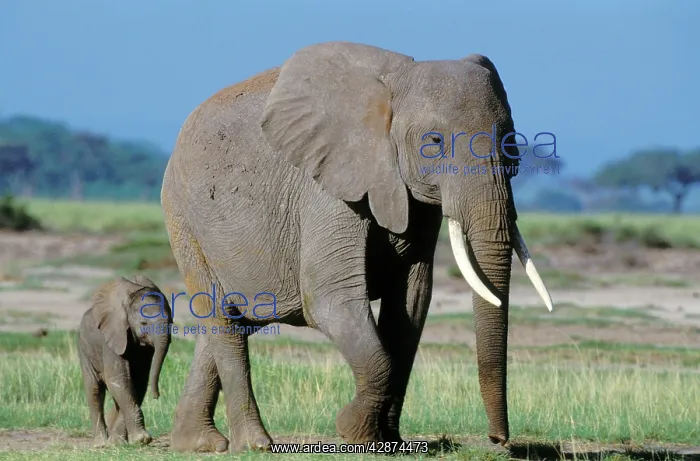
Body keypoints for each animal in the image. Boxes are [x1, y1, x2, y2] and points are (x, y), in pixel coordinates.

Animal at [77, 275, 172, 447]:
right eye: (144, 324)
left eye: (171, 323)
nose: (156, 396)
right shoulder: (111, 339)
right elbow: (119, 380)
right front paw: (142, 439)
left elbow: (137, 383)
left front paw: (119, 443)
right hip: (84, 349)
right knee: (94, 390)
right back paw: (100, 444)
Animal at [160, 41, 553, 453]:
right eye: (434, 142)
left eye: (512, 142)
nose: (498, 439)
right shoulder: (326, 187)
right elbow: (331, 299)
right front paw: (353, 433)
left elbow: (411, 302)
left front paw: (389, 441)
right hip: (184, 219)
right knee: (221, 318)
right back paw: (254, 445)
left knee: (237, 319)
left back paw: (197, 443)